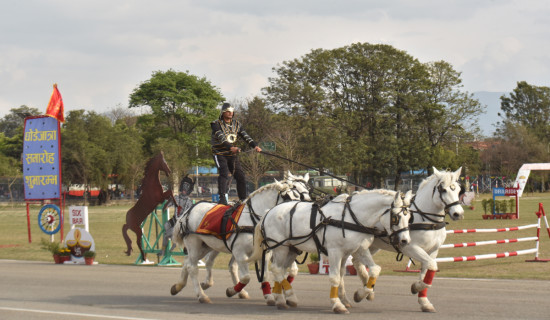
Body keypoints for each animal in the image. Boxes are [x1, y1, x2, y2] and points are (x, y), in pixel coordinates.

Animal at [170, 172, 312, 304]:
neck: (253, 219)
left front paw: (270, 295)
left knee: (191, 261)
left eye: (307, 190)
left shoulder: (265, 253)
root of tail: (187, 212)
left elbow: (267, 274)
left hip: (208, 246)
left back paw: (179, 286)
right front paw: (232, 290)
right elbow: (246, 277)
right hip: (194, 244)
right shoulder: (240, 252)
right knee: (193, 267)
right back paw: (202, 295)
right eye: (288, 196)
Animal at [248, 189, 412, 314]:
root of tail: (268, 212)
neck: (352, 218)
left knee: (280, 270)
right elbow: (335, 277)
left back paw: (281, 298)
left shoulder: (358, 250)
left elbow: (372, 270)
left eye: (409, 217)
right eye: (396, 218)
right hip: (280, 248)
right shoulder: (334, 251)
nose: (405, 241)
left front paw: (359, 294)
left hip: (291, 249)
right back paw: (287, 298)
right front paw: (338, 304)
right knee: (277, 269)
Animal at [350, 168, 466, 312]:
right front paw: (416, 287)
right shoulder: (410, 248)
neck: (426, 219)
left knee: (356, 260)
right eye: (443, 190)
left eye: (458, 190)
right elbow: (431, 266)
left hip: (372, 246)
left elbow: (427, 271)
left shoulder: (433, 251)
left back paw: (366, 289)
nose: (458, 214)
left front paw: (424, 301)